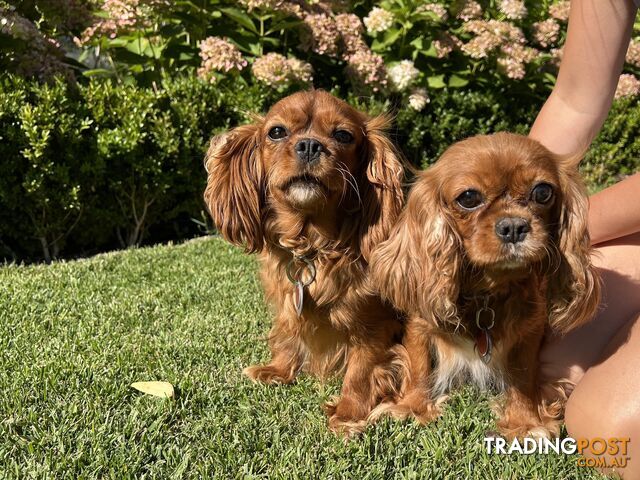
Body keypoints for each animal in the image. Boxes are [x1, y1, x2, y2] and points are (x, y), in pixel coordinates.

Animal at [205, 90, 404, 436]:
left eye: (343, 135)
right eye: (277, 131)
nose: (309, 145)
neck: (312, 245)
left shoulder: (374, 325)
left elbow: (361, 371)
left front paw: (348, 414)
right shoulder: (287, 300)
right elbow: (288, 333)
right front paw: (278, 370)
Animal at [370, 132, 600, 438]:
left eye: (542, 192)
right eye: (469, 197)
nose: (513, 226)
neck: (487, 292)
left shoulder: (530, 332)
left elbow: (523, 378)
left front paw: (525, 422)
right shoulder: (419, 324)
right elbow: (419, 366)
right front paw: (411, 407)